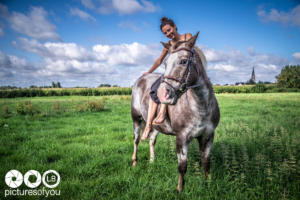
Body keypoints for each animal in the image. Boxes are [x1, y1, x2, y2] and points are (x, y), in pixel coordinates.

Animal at [130, 33, 219, 192]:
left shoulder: (208, 136)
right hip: (136, 119)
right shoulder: (182, 137)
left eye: (183, 61)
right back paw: (135, 162)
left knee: (152, 140)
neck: (201, 107)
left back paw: (152, 161)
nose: (160, 94)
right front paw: (179, 190)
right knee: (136, 140)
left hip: (155, 126)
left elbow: (206, 162)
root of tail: (140, 79)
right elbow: (182, 167)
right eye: (165, 63)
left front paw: (208, 184)